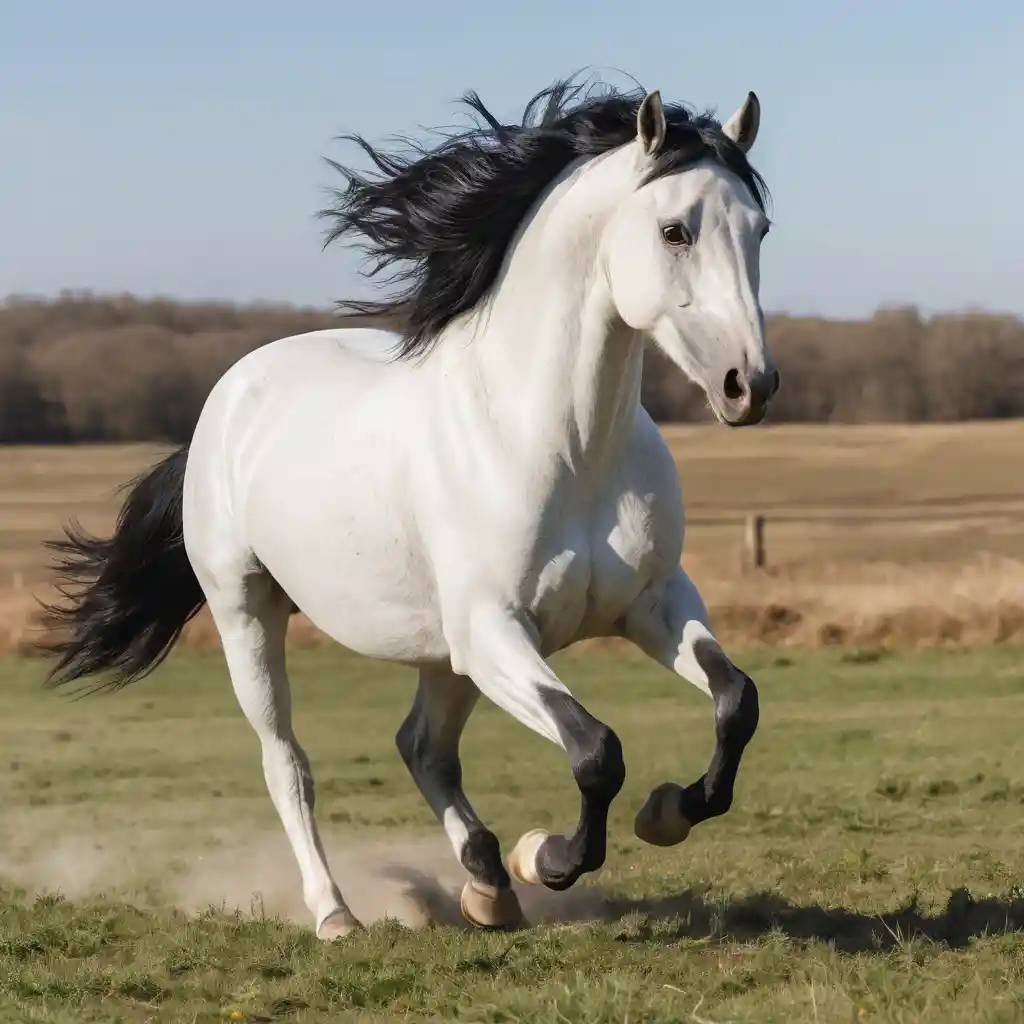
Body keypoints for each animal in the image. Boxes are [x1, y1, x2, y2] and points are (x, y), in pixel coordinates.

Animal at [39, 78, 777, 938]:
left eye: (760, 227)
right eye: (674, 230)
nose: (749, 385)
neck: (564, 446)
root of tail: (228, 397)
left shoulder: (654, 605)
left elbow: (735, 702)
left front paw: (664, 814)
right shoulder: (495, 632)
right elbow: (597, 751)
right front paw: (548, 857)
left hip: (441, 653)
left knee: (422, 746)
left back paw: (486, 885)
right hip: (249, 615)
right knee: (289, 764)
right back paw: (338, 914)